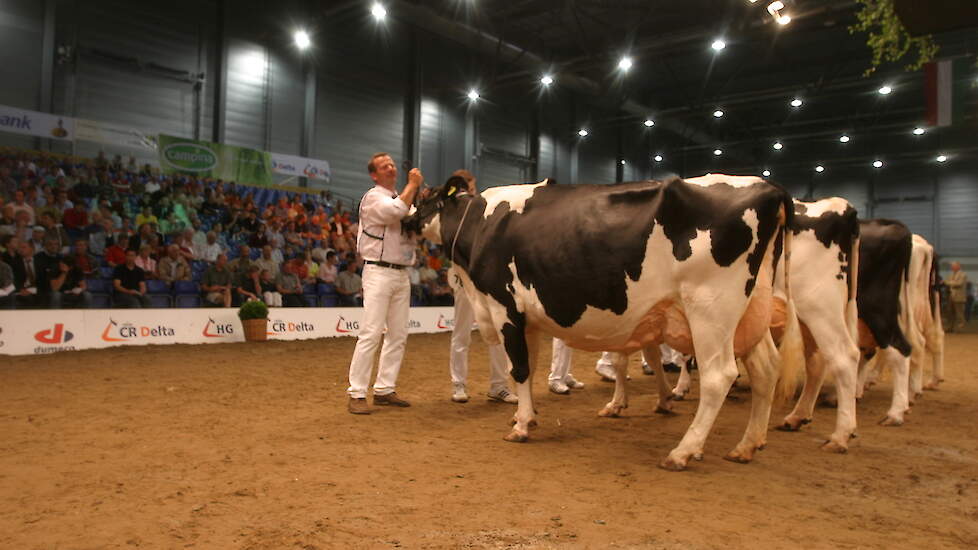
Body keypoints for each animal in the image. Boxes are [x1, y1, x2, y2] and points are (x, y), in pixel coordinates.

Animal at [404, 176, 800, 470]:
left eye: (424, 199)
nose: (405, 220)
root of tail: (768, 187)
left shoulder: (504, 306)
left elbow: (520, 368)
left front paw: (521, 426)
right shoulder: (527, 318)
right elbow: (530, 366)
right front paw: (526, 416)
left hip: (710, 308)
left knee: (719, 376)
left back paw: (683, 452)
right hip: (749, 311)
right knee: (766, 368)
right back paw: (747, 445)